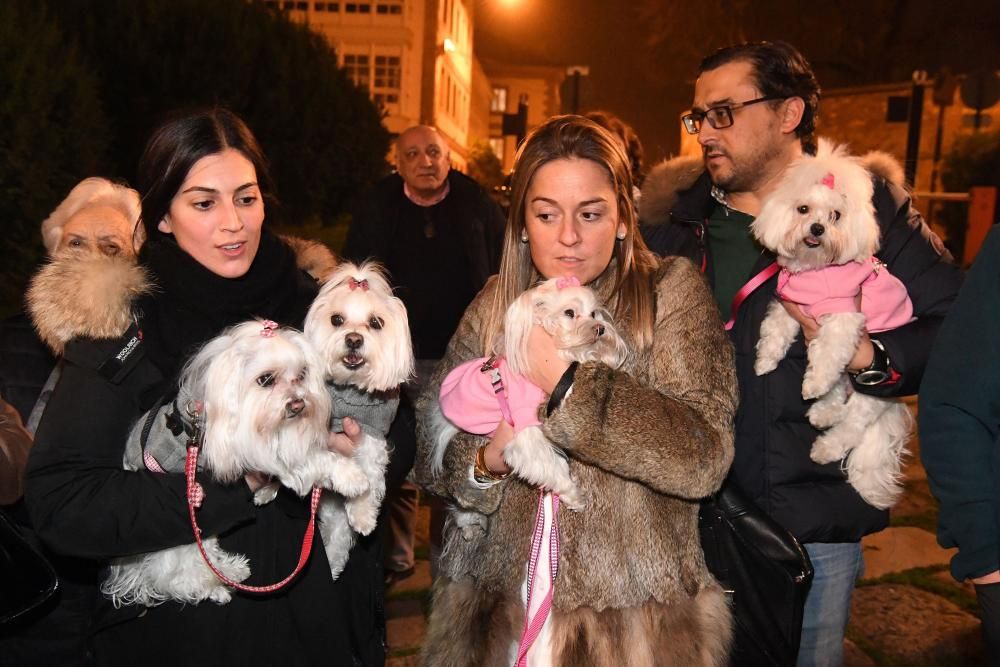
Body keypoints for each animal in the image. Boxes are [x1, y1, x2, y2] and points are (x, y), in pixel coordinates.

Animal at [101, 320, 372, 608]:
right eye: (266, 379)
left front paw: (266, 492)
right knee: (174, 577)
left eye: (301, 374)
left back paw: (232, 571)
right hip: (180, 535)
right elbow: (313, 459)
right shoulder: (258, 449)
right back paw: (217, 586)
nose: (299, 404)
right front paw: (352, 477)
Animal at [304, 260, 414, 580]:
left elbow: (370, 474)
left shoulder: (371, 434)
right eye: (337, 319)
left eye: (376, 323)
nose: (354, 339)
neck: (349, 390)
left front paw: (364, 514)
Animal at [428, 276, 624, 536]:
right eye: (569, 313)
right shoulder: (524, 434)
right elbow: (552, 466)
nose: (600, 328)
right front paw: (574, 495)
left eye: (593, 313)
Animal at [752, 140, 916, 506]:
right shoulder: (790, 304)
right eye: (803, 209)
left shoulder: (845, 317)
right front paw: (765, 361)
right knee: (838, 394)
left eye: (835, 216)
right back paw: (821, 412)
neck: (815, 269)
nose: (817, 229)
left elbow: (827, 355)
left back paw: (825, 446)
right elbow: (775, 332)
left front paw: (812, 384)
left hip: (871, 388)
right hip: (850, 377)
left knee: (852, 423)